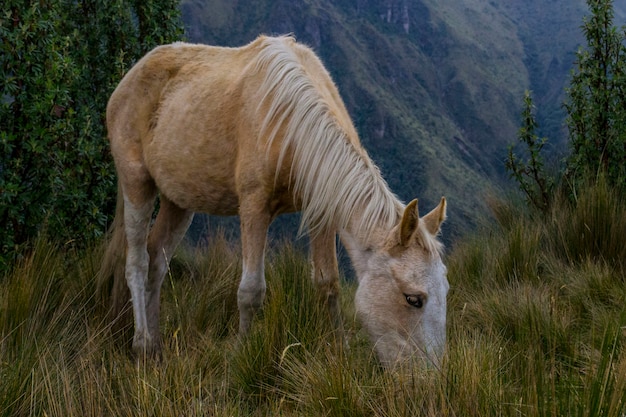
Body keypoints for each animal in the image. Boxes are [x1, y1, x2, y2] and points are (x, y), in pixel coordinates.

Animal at [100, 35, 446, 368]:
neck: (292, 124)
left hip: (178, 202)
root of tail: (130, 78)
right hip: (136, 184)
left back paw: (157, 347)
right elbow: (251, 290)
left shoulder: (321, 212)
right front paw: (240, 357)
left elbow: (328, 284)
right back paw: (142, 344)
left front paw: (340, 353)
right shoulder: (254, 207)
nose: (428, 378)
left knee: (157, 263)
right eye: (413, 299)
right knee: (137, 262)